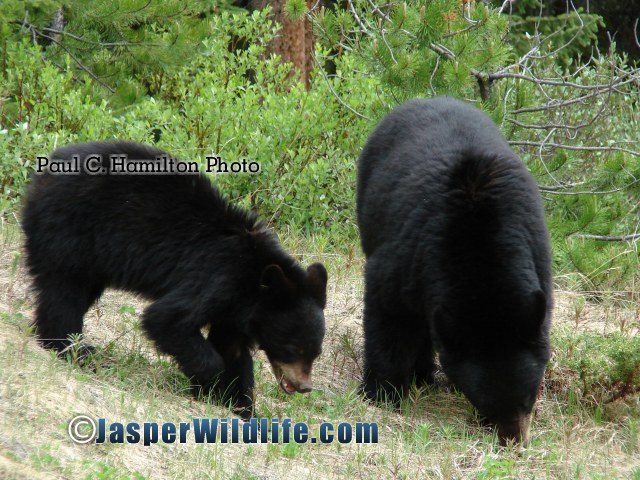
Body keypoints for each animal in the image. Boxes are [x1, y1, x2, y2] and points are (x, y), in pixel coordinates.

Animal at [22, 141, 328, 420]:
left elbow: (232, 348)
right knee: (65, 289)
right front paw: (208, 383)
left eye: (315, 353)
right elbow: (168, 319)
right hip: (72, 228)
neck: (252, 281)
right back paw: (70, 347)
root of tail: (46, 168)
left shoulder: (236, 311)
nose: (304, 386)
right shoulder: (217, 278)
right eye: (293, 348)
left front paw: (240, 405)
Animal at [357, 98, 552, 445]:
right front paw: (382, 394)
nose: (514, 441)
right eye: (486, 402)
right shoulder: (408, 256)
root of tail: (427, 99)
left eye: (528, 398)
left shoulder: (537, 254)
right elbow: (389, 315)